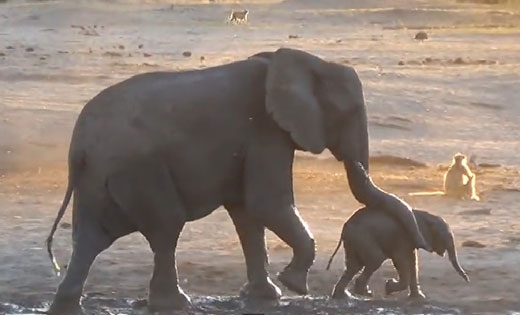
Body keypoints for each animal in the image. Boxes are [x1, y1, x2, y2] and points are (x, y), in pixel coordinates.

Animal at [45, 47, 426, 314]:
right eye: (349, 114)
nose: (384, 288)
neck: (296, 60)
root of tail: (79, 143)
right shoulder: (266, 130)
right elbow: (266, 204)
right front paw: (292, 285)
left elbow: (247, 213)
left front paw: (267, 295)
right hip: (138, 168)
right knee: (166, 226)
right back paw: (175, 304)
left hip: (100, 176)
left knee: (91, 237)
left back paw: (66, 305)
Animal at [328, 209, 470, 300]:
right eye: (443, 235)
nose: (468, 280)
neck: (424, 215)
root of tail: (345, 226)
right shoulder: (403, 238)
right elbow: (401, 260)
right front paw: (388, 286)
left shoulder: (411, 240)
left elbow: (413, 262)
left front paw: (419, 298)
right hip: (363, 238)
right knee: (374, 260)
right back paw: (365, 293)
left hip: (354, 241)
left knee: (353, 266)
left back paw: (344, 296)